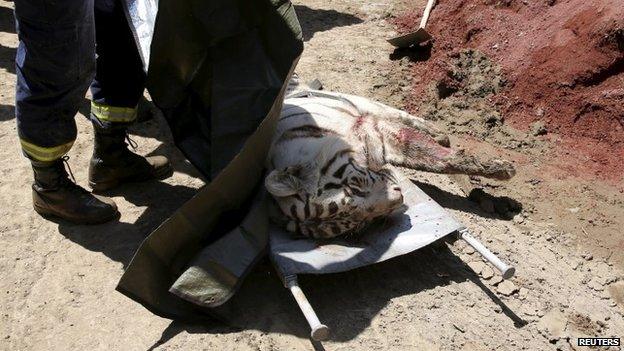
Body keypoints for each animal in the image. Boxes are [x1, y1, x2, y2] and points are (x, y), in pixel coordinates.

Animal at [266, 77, 516, 241]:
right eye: (361, 223)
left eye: (355, 187)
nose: (398, 199)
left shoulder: (371, 130)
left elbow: (434, 157)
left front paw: (502, 169)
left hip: (361, 104)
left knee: (397, 113)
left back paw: (439, 133)